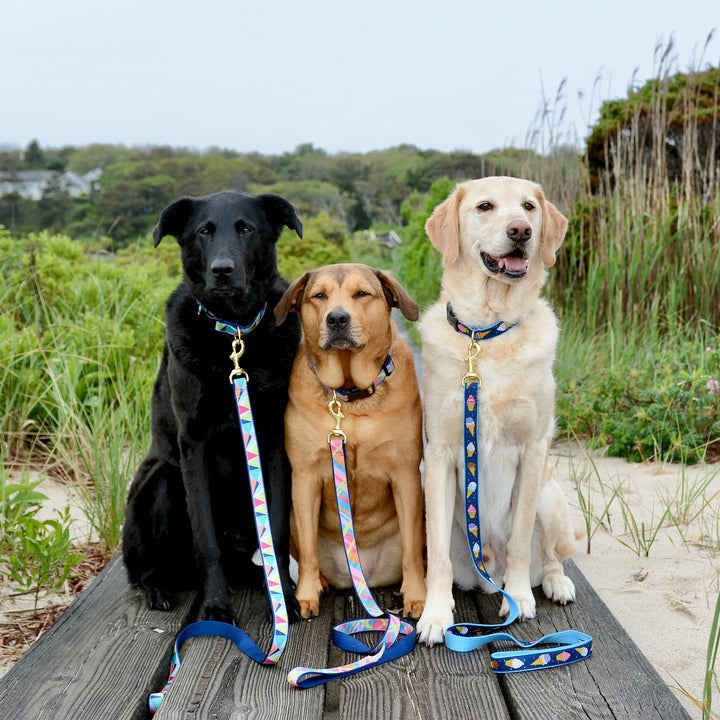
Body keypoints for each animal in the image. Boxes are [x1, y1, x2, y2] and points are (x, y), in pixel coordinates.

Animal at [122, 191, 302, 624]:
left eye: (246, 228)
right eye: (204, 232)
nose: (222, 271)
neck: (234, 333)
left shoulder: (273, 438)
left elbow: (277, 527)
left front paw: (283, 597)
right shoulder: (194, 444)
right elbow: (206, 539)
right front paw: (217, 605)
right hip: (162, 479)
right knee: (148, 569)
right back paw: (159, 588)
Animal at [274, 264, 422, 620]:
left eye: (361, 294)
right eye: (319, 296)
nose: (337, 319)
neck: (350, 396)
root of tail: (360, 576)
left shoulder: (406, 477)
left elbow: (412, 552)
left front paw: (418, 597)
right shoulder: (305, 478)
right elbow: (309, 554)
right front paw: (305, 595)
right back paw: (322, 583)